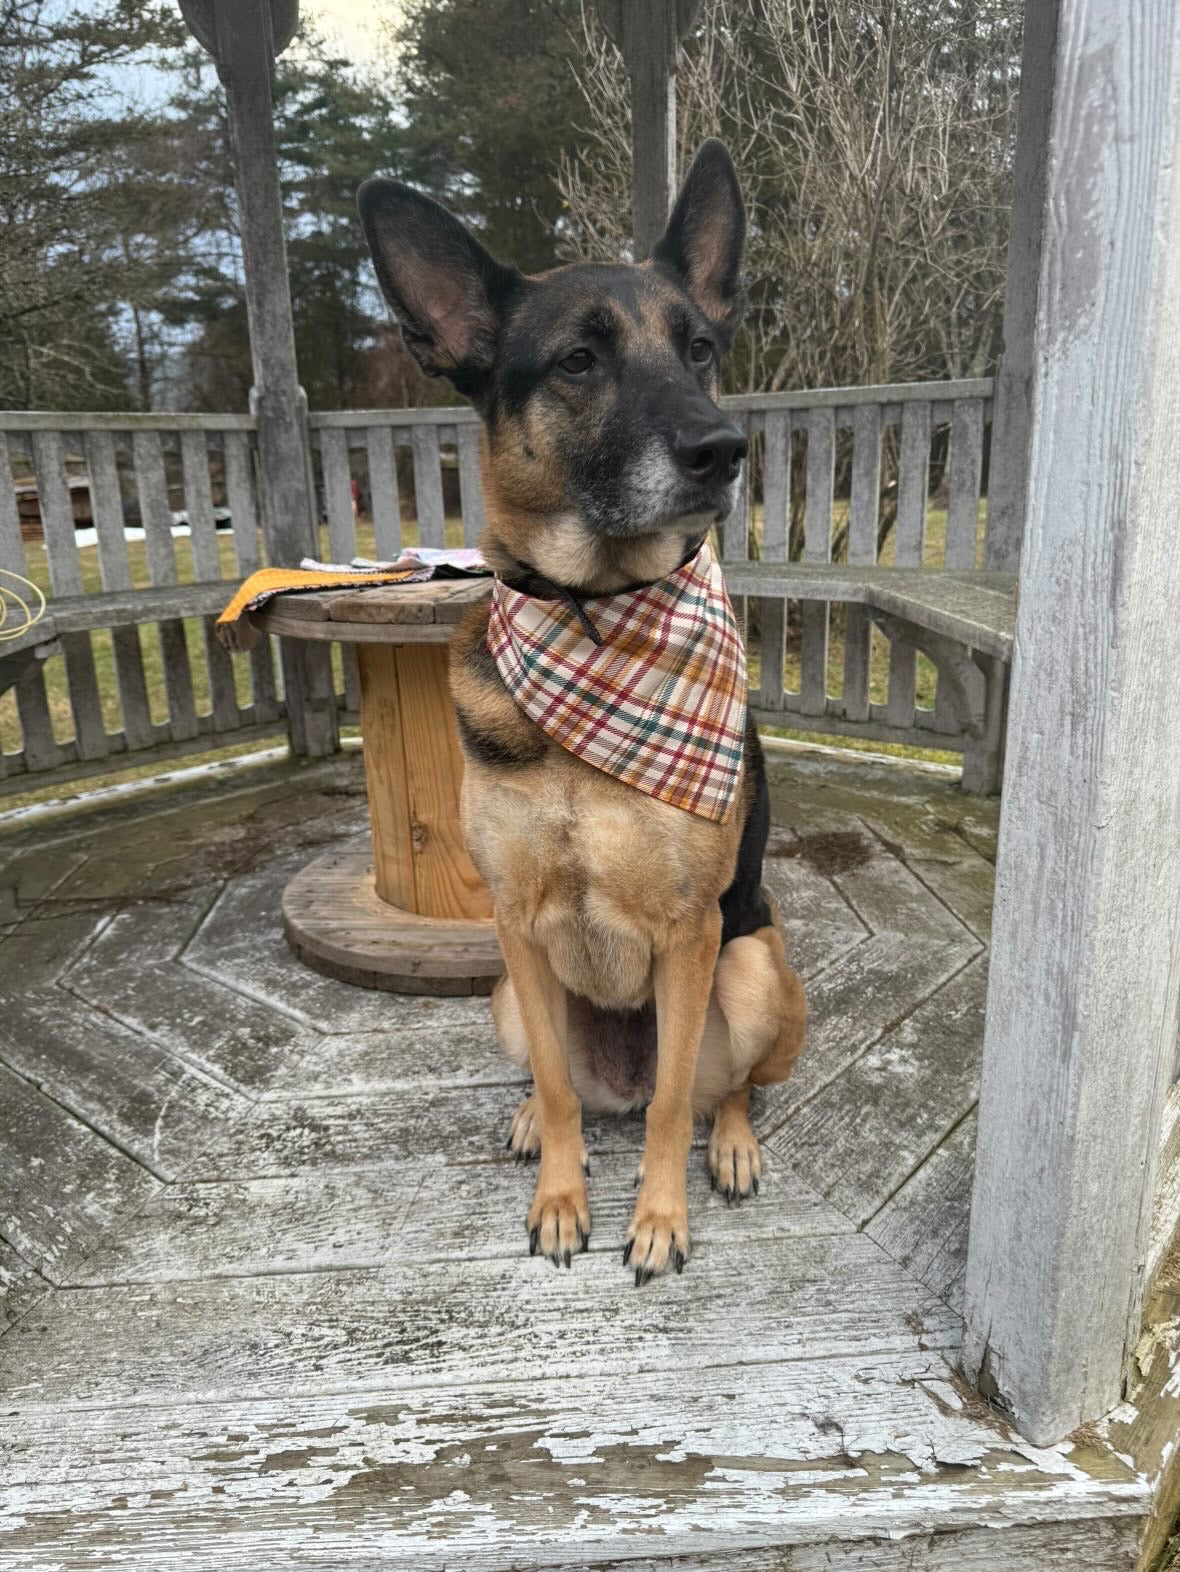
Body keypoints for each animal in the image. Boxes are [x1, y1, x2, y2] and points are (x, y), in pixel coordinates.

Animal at [358, 141, 804, 1282]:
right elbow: (560, 1090)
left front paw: (658, 1220)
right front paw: (563, 1198)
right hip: (509, 999)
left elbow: (667, 1114)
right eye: (575, 362)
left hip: (751, 969)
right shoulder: (514, 924)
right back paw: (532, 1119)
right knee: (567, 1077)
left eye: (701, 350)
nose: (722, 449)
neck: (594, 615)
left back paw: (731, 1144)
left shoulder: (692, 932)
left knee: (715, 1089)